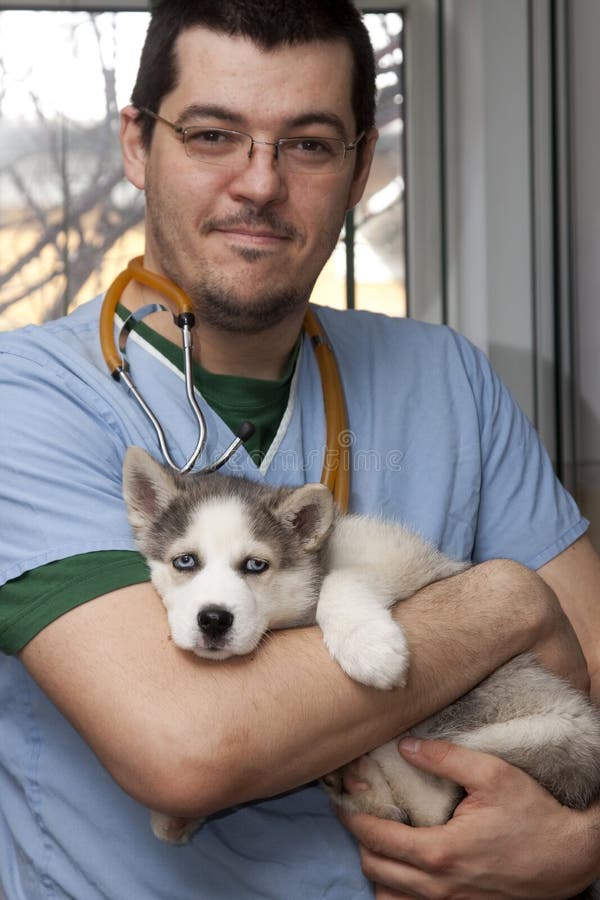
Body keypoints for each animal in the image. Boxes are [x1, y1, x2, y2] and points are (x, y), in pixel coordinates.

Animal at [120, 446, 600, 896]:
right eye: (185, 562)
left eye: (255, 565)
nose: (214, 620)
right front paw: (175, 817)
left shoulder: (396, 556)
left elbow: (343, 581)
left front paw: (369, 647)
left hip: (534, 727)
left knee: (433, 799)